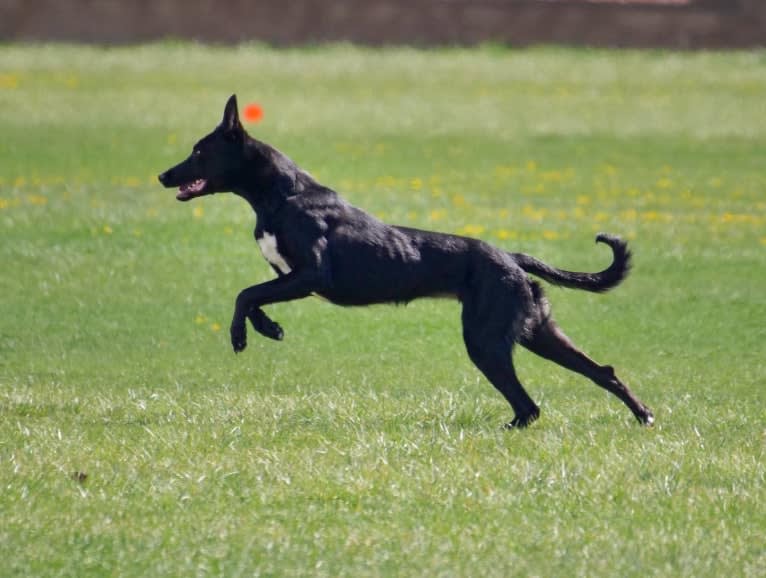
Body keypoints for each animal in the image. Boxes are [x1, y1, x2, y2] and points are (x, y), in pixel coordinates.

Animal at [158, 95, 656, 428]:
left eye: (199, 151)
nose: (163, 174)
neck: (281, 194)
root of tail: (511, 257)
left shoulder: (311, 274)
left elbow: (245, 294)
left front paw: (243, 336)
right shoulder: (291, 278)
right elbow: (255, 296)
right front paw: (269, 329)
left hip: (487, 340)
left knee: (528, 405)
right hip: (536, 330)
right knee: (599, 374)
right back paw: (643, 415)